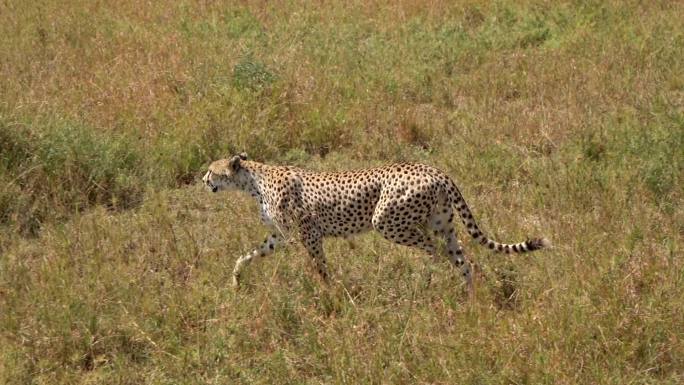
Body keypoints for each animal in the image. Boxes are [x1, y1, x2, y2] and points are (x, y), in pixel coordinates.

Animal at [200, 153, 548, 288]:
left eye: (211, 170)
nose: (203, 180)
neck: (253, 180)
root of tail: (434, 169)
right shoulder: (280, 237)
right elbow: (247, 255)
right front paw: (236, 280)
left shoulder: (309, 235)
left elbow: (319, 267)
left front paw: (328, 293)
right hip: (441, 224)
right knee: (465, 258)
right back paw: (470, 297)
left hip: (389, 222)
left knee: (440, 253)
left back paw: (439, 280)